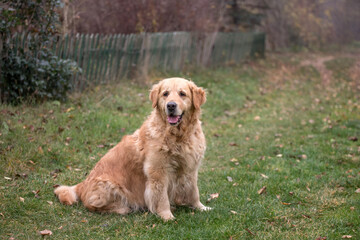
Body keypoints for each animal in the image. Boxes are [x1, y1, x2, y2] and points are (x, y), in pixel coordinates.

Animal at [53, 78, 211, 220]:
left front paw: (201, 207)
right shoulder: (158, 172)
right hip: (109, 186)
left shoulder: (191, 168)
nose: (171, 106)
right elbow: (161, 198)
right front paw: (167, 216)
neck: (178, 136)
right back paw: (123, 208)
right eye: (165, 94)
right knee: (92, 205)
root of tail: (82, 184)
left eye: (182, 94)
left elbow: (194, 191)